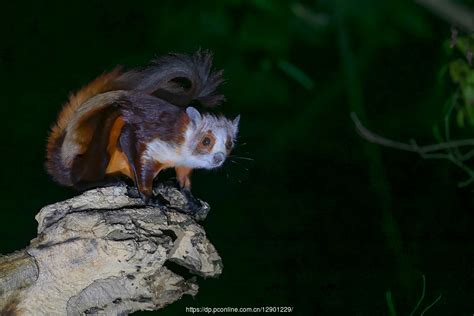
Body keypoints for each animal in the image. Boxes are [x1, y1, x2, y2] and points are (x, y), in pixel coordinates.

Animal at [45, 50, 239, 201]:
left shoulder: (184, 163)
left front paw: (190, 199)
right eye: (206, 141)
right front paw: (148, 197)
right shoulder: (148, 137)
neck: (184, 146)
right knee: (79, 181)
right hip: (98, 148)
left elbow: (184, 179)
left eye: (229, 144)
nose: (219, 158)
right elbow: (131, 148)